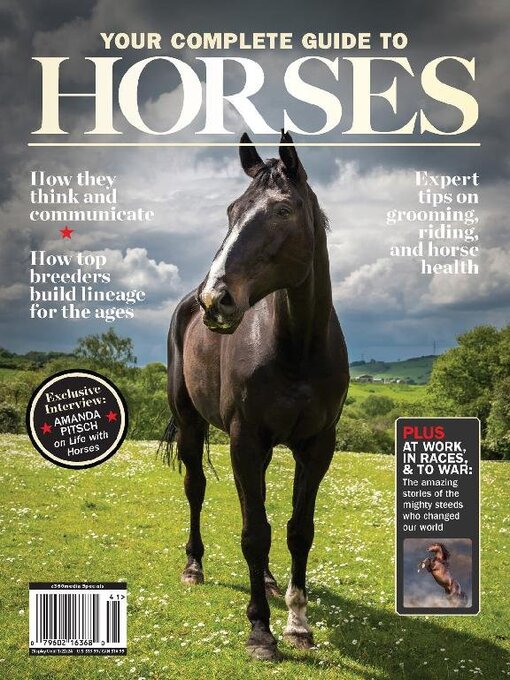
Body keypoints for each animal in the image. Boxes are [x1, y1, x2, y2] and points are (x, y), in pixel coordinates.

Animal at [165, 130, 349, 660]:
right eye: (232, 210)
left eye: (283, 210)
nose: (215, 298)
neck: (297, 347)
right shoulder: (244, 441)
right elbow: (253, 533)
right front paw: (260, 631)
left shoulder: (317, 447)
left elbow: (296, 531)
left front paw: (298, 624)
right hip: (192, 426)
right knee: (196, 490)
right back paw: (194, 566)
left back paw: (267, 581)